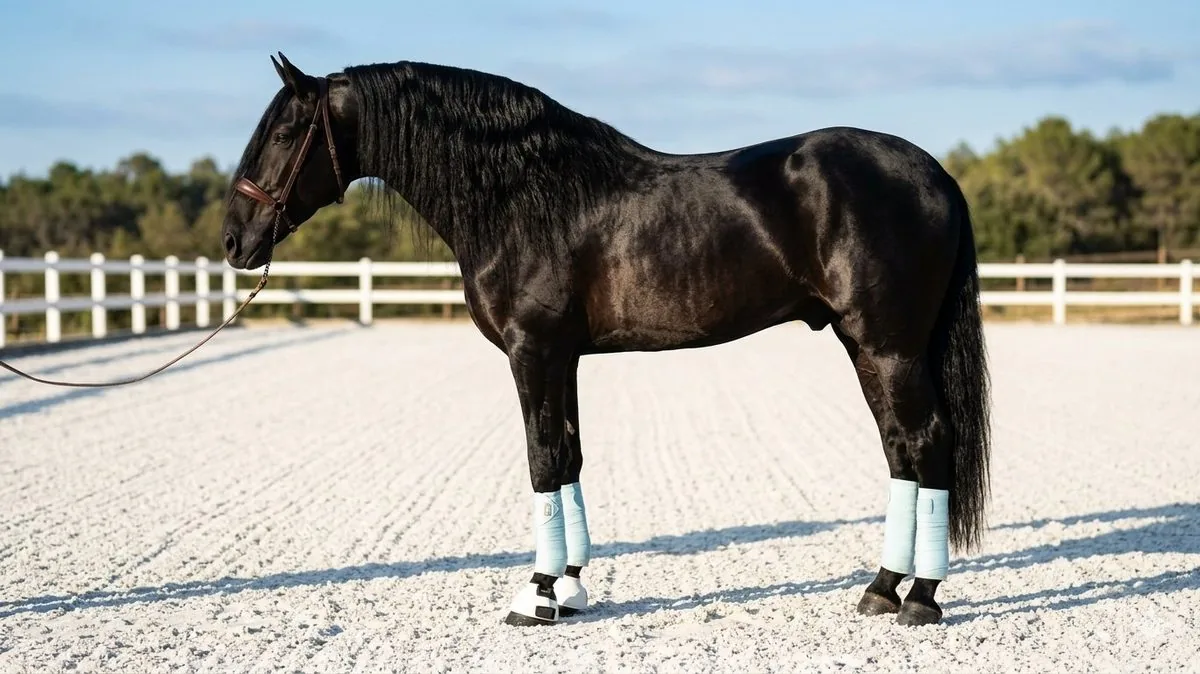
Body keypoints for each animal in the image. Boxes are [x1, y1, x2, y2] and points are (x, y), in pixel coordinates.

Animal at [222, 52, 992, 628]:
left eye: (285, 132)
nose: (234, 242)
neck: (524, 196)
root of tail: (937, 174)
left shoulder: (532, 351)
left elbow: (541, 460)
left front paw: (535, 597)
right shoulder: (560, 357)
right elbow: (568, 456)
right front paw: (568, 589)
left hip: (889, 347)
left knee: (927, 443)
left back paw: (921, 600)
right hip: (865, 346)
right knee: (900, 449)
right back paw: (881, 588)